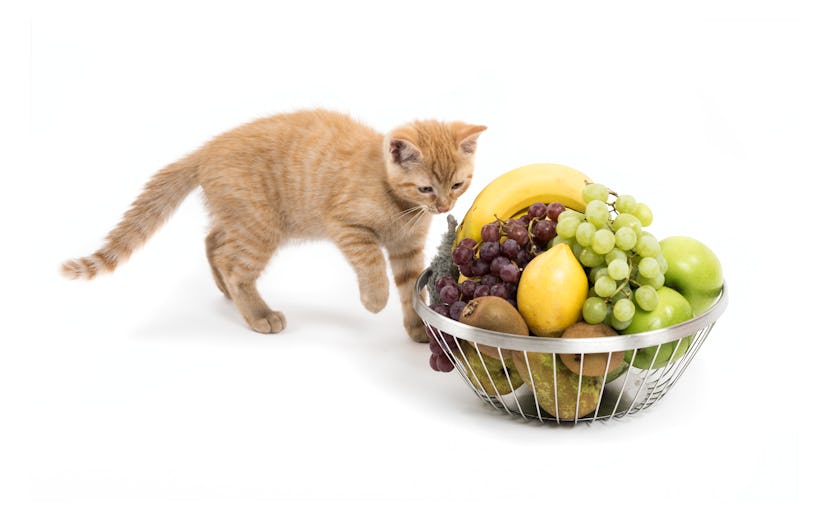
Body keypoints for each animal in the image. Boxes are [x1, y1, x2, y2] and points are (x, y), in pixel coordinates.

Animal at [63, 107, 486, 340]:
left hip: (241, 219)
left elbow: (408, 287)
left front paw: (418, 328)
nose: (444, 206)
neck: (400, 205)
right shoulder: (346, 226)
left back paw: (226, 291)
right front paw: (375, 299)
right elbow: (371, 266)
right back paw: (258, 313)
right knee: (235, 265)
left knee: (214, 241)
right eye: (426, 187)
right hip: (260, 226)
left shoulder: (406, 249)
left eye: (457, 185)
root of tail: (206, 150)